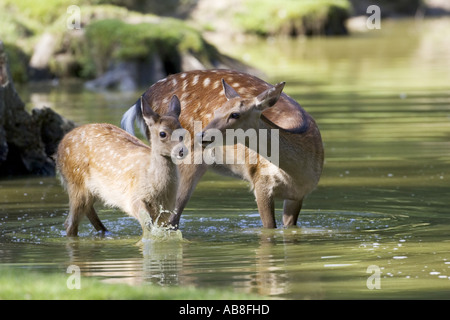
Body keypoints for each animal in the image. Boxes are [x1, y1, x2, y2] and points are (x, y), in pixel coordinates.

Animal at [56, 94, 186, 235]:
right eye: (163, 133)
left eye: (183, 132)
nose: (182, 151)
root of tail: (59, 148)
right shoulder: (134, 198)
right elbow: (147, 226)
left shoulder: (165, 209)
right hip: (75, 182)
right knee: (70, 223)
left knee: (88, 212)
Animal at [120, 69, 324, 229]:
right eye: (217, 111)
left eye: (235, 114)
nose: (201, 135)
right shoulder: (260, 181)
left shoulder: (298, 195)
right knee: (170, 219)